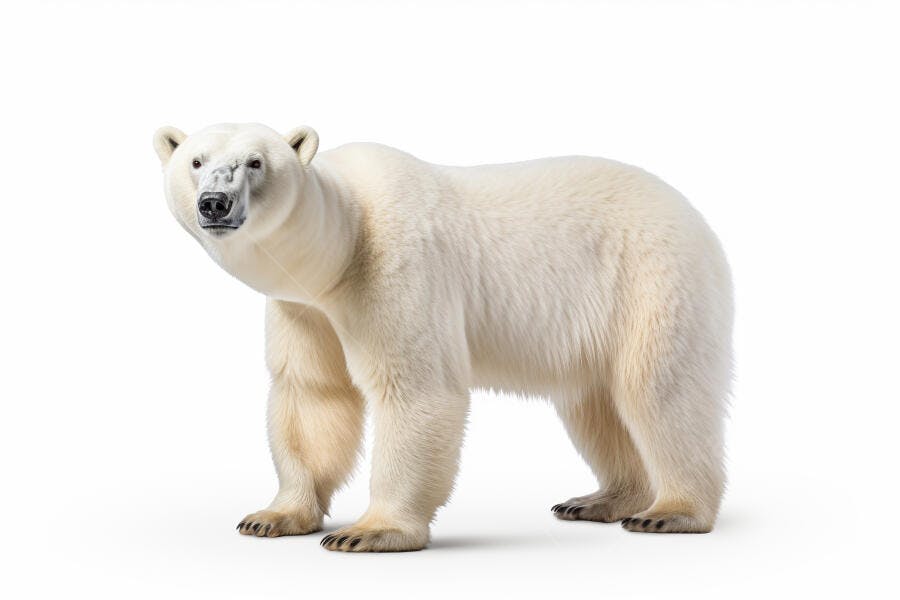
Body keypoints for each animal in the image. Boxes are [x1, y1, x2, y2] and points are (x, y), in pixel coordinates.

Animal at [153, 123, 733, 552]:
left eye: (255, 162)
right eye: (196, 161)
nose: (214, 203)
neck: (341, 245)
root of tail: (698, 220)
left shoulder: (395, 269)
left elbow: (416, 390)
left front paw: (369, 531)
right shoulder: (305, 310)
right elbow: (312, 395)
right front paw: (272, 516)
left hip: (651, 279)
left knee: (658, 390)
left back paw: (671, 512)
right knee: (595, 404)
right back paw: (601, 500)